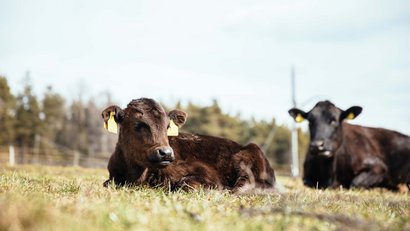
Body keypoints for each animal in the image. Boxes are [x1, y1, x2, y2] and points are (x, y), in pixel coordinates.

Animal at [102, 98, 276, 191]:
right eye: (138, 124)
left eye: (167, 126)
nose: (166, 153)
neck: (136, 177)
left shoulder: (205, 174)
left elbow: (185, 185)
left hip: (248, 159)